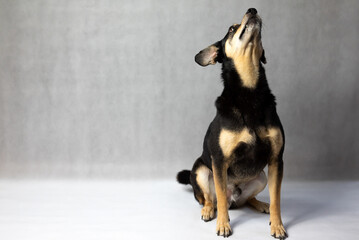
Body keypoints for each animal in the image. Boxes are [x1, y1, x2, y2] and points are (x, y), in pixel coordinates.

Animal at [179, 8, 288, 239]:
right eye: (231, 28)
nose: (252, 10)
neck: (249, 92)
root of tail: (234, 196)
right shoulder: (219, 161)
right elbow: (219, 196)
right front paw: (223, 225)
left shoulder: (276, 160)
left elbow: (277, 199)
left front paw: (277, 226)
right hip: (200, 170)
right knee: (210, 199)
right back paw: (208, 210)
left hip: (261, 177)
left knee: (246, 200)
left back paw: (260, 204)